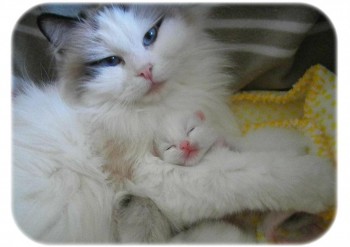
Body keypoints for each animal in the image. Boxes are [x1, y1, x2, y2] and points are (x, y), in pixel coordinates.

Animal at [13, 3, 334, 243]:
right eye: (111, 61)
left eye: (150, 36)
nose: (146, 70)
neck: (162, 108)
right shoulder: (153, 175)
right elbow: (251, 173)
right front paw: (320, 178)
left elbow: (254, 145)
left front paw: (296, 142)